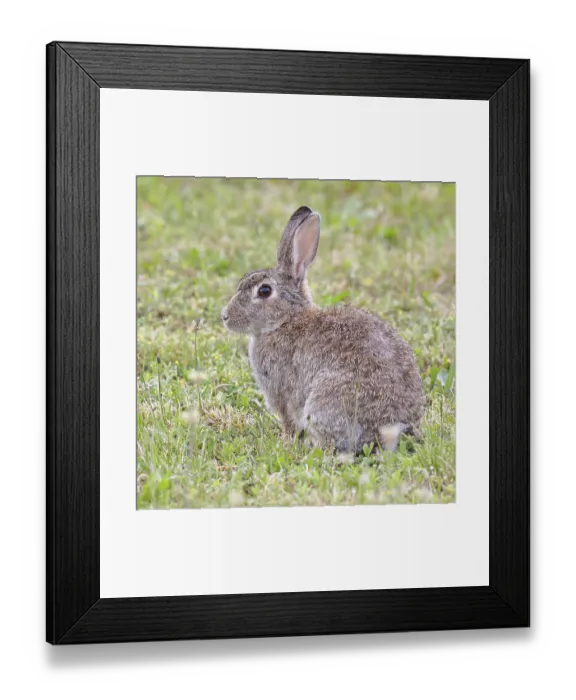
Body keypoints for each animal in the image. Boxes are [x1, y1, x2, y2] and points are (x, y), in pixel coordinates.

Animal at [221, 206, 425, 453]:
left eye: (264, 291)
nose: (225, 316)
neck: (286, 320)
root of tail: (392, 428)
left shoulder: (281, 393)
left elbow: (288, 420)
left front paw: (284, 441)